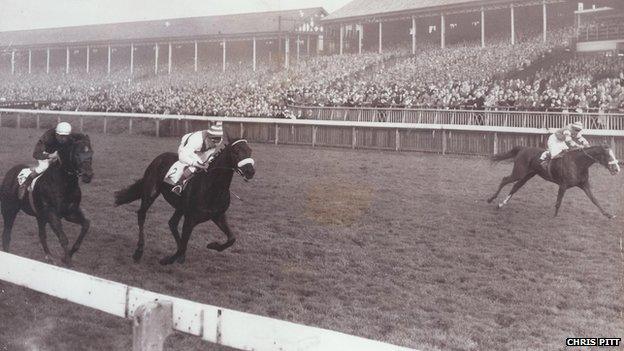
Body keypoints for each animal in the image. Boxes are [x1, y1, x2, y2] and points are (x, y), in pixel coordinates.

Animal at [0, 135, 94, 266]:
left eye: (91, 153)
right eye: (76, 154)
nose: (88, 175)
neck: (63, 183)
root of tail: (10, 173)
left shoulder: (70, 213)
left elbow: (86, 224)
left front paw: (67, 257)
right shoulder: (52, 214)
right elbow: (63, 238)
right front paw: (68, 262)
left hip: (40, 216)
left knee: (42, 235)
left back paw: (49, 257)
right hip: (9, 211)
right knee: (6, 235)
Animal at [114, 129, 254, 264]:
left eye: (250, 150)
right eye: (236, 152)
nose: (250, 171)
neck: (213, 188)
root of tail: (158, 158)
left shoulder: (218, 215)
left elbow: (232, 238)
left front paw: (213, 245)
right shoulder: (190, 218)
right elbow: (183, 246)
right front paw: (167, 260)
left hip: (180, 206)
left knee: (172, 223)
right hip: (150, 193)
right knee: (142, 215)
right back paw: (139, 251)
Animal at [488, 145, 620, 217]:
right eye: (608, 156)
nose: (617, 169)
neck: (578, 163)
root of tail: (523, 148)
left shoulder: (584, 185)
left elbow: (595, 200)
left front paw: (608, 215)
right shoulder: (563, 185)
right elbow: (558, 202)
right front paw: (555, 216)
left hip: (528, 175)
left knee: (516, 187)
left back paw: (501, 204)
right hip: (519, 172)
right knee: (505, 180)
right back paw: (491, 199)